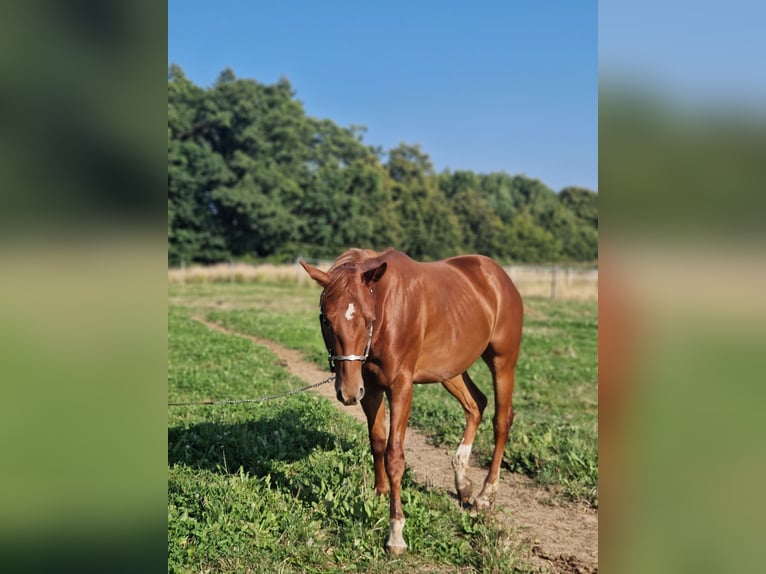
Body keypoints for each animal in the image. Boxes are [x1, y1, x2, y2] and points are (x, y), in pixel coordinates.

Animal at [300, 247, 523, 555]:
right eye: (325, 319)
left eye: (368, 319)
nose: (347, 392)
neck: (385, 309)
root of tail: (498, 276)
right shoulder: (370, 388)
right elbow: (377, 442)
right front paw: (380, 494)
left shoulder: (401, 388)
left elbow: (394, 455)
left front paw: (396, 532)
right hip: (449, 370)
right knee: (476, 404)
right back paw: (462, 481)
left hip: (502, 362)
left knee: (502, 420)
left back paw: (485, 495)